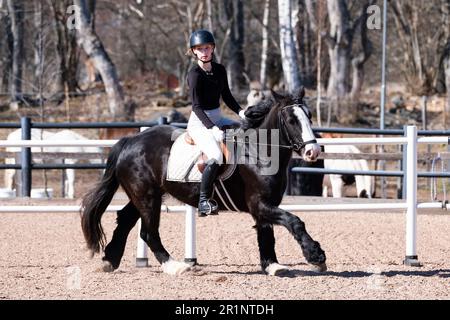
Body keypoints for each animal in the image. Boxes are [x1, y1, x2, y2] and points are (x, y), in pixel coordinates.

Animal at [81, 87, 326, 276]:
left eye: (309, 116)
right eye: (292, 120)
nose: (313, 152)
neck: (260, 152)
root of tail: (131, 140)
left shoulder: (265, 206)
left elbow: (266, 235)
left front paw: (272, 266)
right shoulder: (260, 204)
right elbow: (294, 221)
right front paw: (316, 255)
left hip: (145, 195)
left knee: (125, 220)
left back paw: (110, 260)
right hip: (147, 197)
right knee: (149, 232)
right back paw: (175, 266)